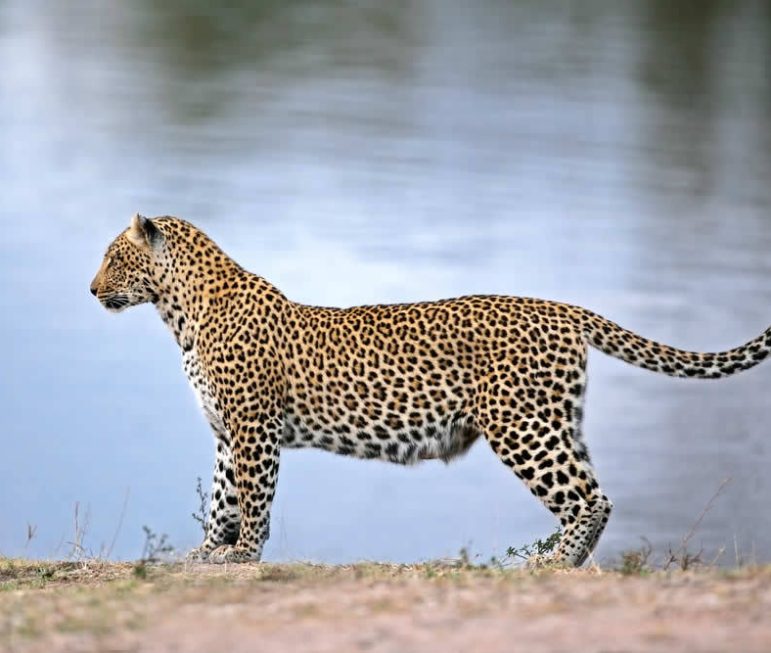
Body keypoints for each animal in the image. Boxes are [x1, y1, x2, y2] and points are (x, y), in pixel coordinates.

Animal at [90, 214, 771, 566]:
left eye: (113, 258)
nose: (92, 290)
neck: (179, 314)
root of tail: (562, 307)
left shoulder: (254, 426)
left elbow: (254, 499)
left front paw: (241, 555)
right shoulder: (228, 432)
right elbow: (224, 496)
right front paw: (207, 552)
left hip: (521, 426)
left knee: (589, 498)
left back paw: (551, 564)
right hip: (557, 421)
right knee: (593, 491)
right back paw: (566, 563)